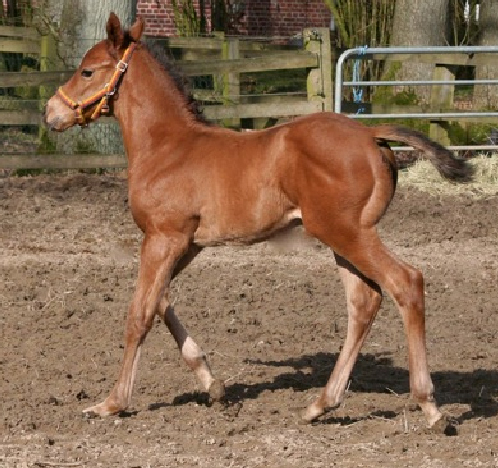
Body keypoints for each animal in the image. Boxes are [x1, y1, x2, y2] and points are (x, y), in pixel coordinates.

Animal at [44, 11, 472, 428]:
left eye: (87, 71)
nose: (51, 112)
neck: (167, 146)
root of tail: (370, 134)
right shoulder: (186, 244)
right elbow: (162, 299)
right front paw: (213, 385)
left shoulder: (163, 237)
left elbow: (140, 314)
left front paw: (111, 403)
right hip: (340, 237)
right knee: (364, 302)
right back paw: (321, 404)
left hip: (346, 231)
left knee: (406, 282)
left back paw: (429, 406)